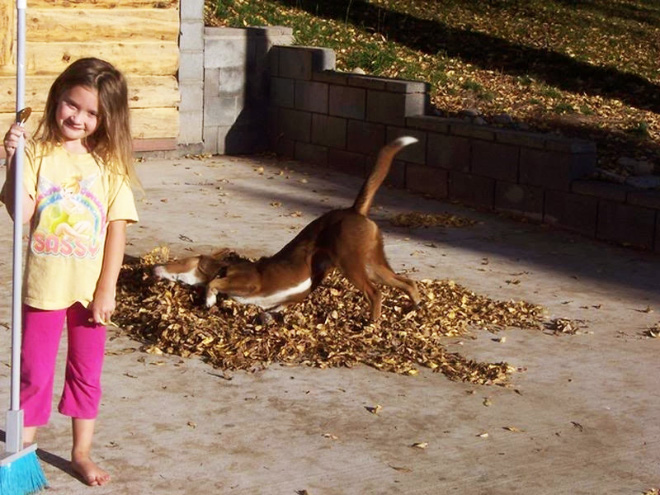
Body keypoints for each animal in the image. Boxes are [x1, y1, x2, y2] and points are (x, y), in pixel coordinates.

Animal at [155, 137, 420, 322]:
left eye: (179, 261)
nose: (154, 267)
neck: (224, 269)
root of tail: (355, 210)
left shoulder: (250, 284)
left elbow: (213, 285)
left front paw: (209, 300)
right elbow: (272, 309)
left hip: (351, 264)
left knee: (375, 293)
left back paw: (371, 324)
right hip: (372, 264)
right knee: (407, 282)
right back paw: (415, 306)